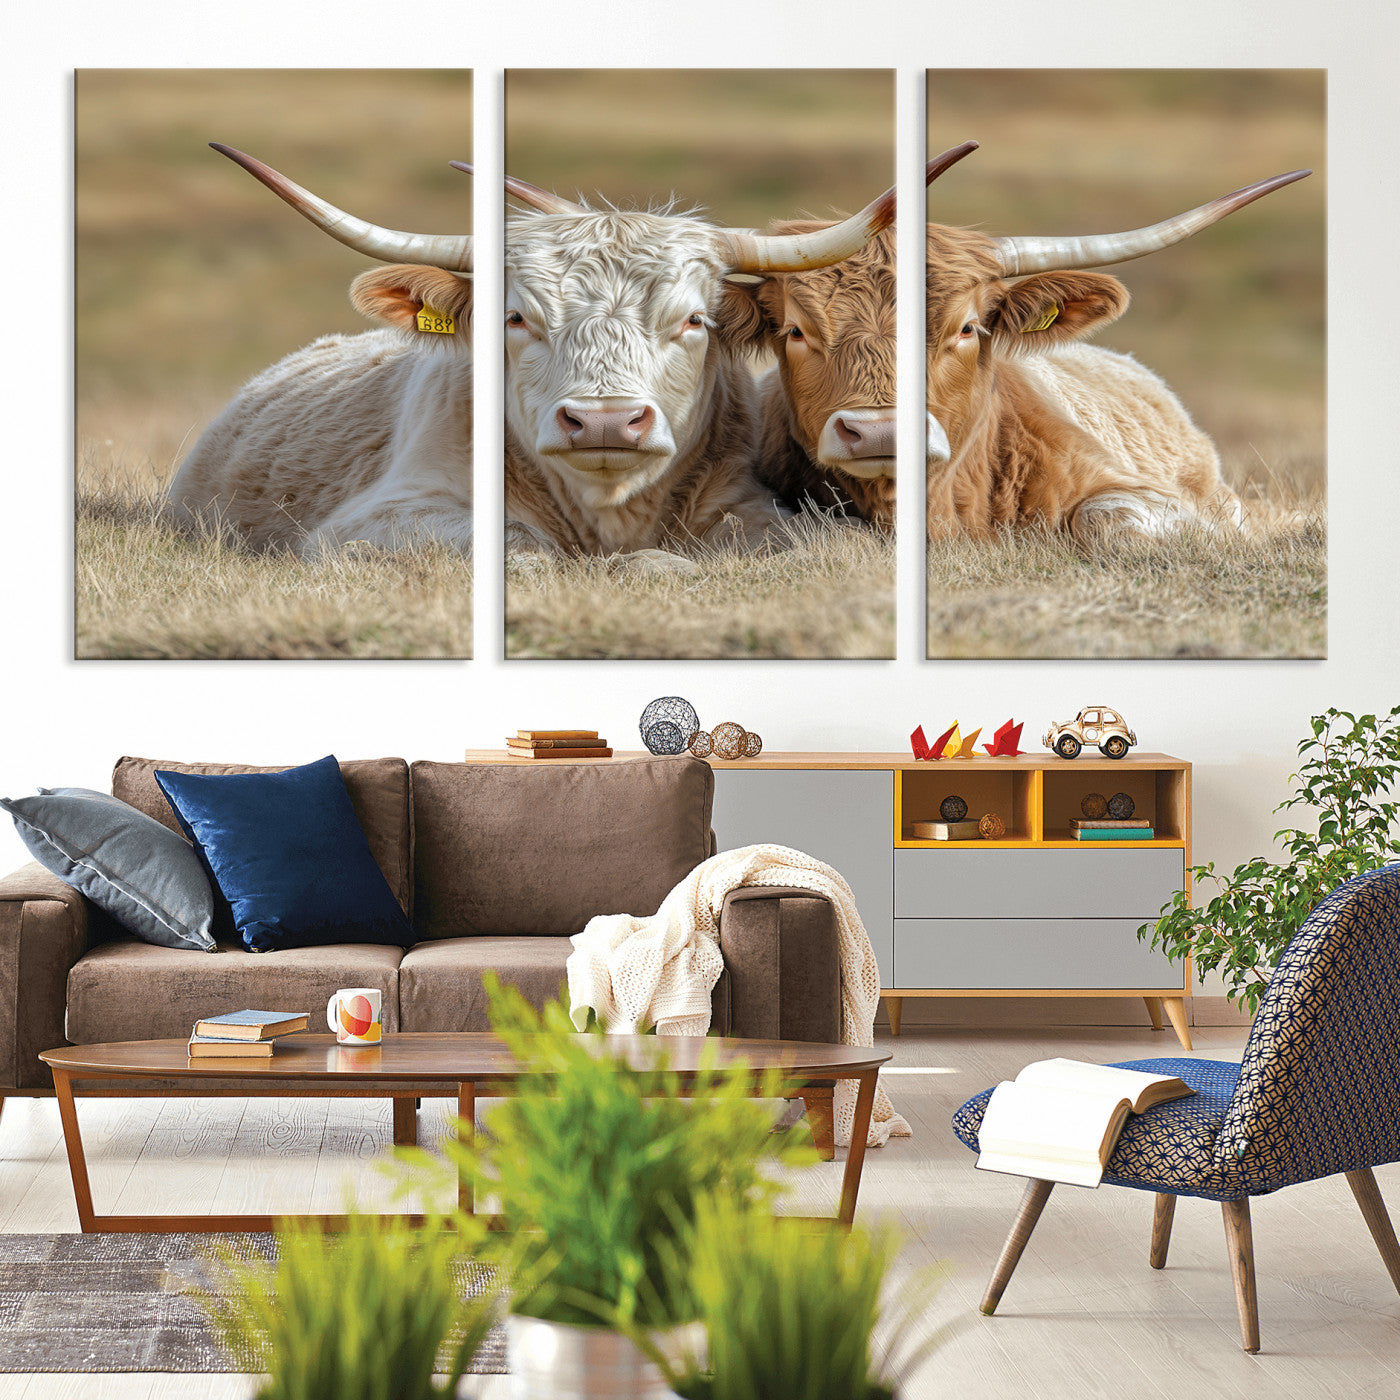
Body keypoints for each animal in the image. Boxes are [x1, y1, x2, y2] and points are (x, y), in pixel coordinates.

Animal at [167, 144, 898, 564]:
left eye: (694, 320)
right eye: (516, 318)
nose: (605, 421)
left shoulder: (752, 504)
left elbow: (816, 547)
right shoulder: (379, 518)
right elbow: (522, 549)